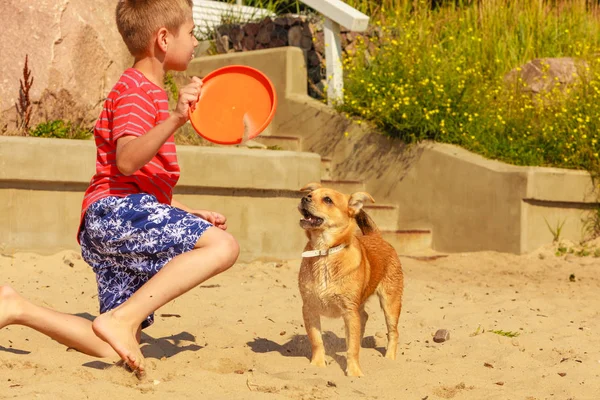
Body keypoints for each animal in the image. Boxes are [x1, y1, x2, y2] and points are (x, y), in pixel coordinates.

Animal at [298, 183, 406, 376]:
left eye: (328, 199)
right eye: (310, 194)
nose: (304, 198)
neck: (324, 253)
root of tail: (376, 236)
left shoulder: (349, 311)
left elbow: (353, 348)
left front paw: (354, 371)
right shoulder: (309, 308)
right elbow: (316, 340)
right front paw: (317, 365)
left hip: (390, 304)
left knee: (393, 332)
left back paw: (389, 358)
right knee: (363, 318)